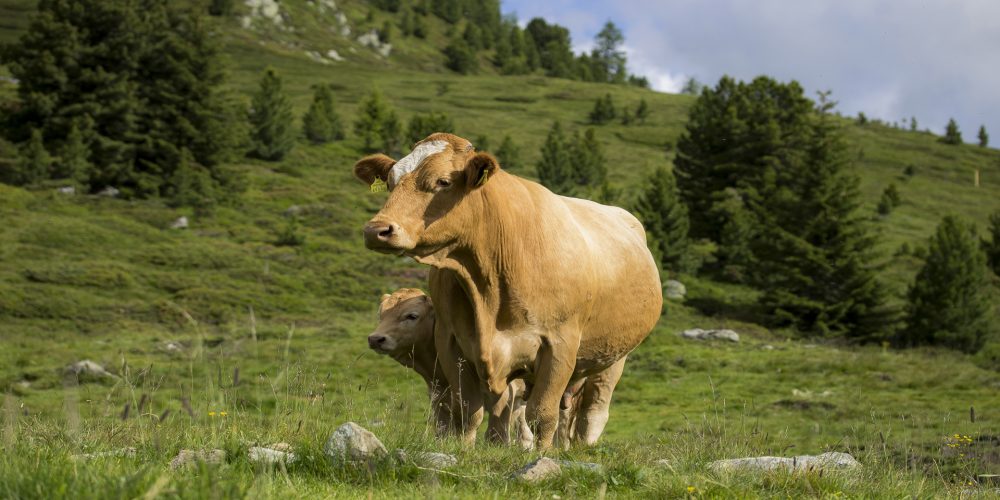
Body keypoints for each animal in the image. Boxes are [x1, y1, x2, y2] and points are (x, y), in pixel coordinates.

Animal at [356, 133, 660, 450]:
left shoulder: (559, 345)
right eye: (390, 181)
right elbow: (469, 413)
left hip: (614, 357)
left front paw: (540, 455)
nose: (376, 229)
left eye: (443, 181)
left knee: (592, 413)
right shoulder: (451, 344)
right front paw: (466, 451)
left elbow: (541, 415)